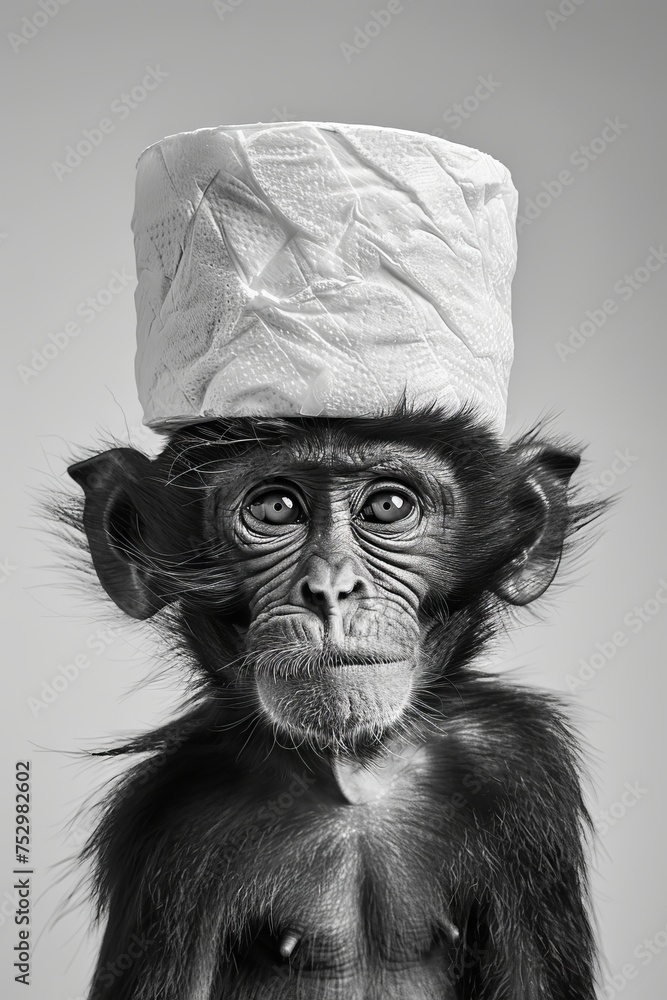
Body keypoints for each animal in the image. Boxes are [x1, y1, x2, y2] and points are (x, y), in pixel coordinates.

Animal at [61, 402, 601, 1000]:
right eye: (276, 507)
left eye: (388, 506)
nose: (331, 589)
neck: (354, 776)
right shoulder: (173, 823)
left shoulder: (514, 768)